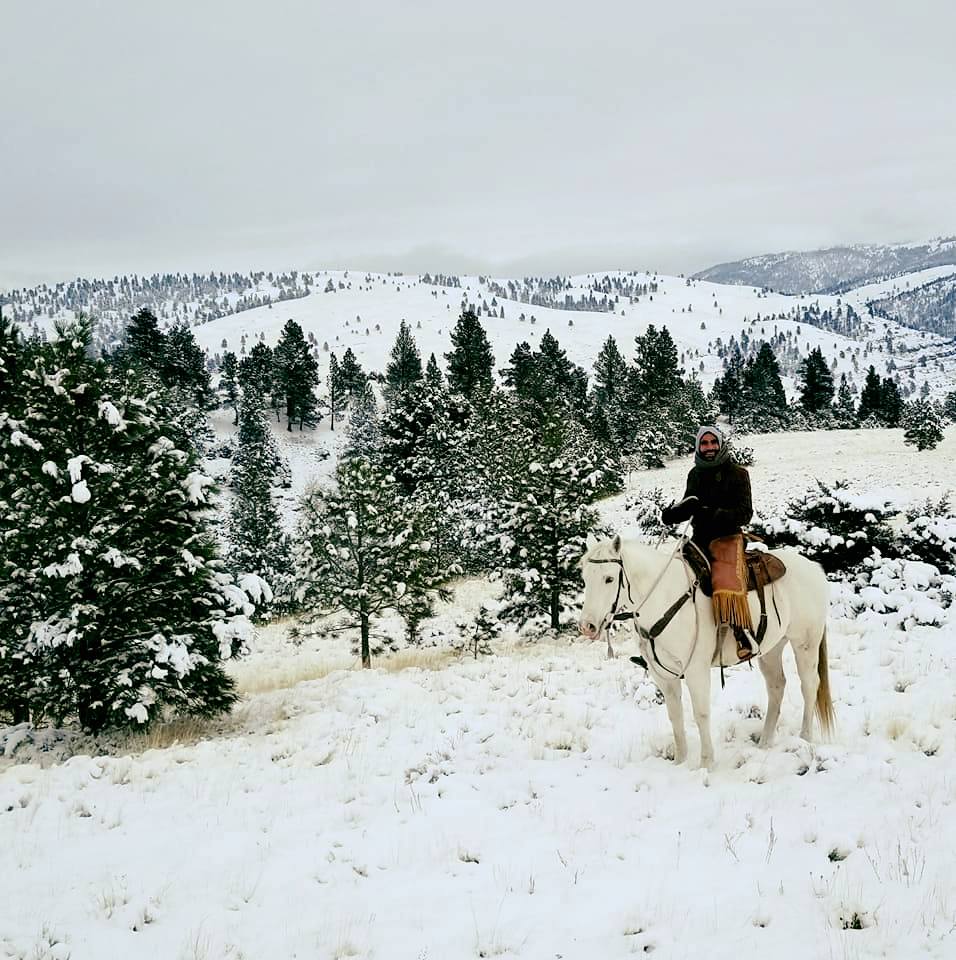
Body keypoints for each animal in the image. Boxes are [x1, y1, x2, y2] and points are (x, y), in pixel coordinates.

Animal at [579, 535, 834, 769]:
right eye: (585, 578)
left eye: (609, 578)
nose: (587, 626)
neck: (664, 598)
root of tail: (814, 568)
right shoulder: (663, 676)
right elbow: (675, 716)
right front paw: (680, 761)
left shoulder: (695, 671)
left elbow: (701, 714)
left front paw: (706, 764)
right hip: (772, 648)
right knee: (776, 687)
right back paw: (764, 742)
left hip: (805, 643)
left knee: (809, 685)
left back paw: (805, 738)